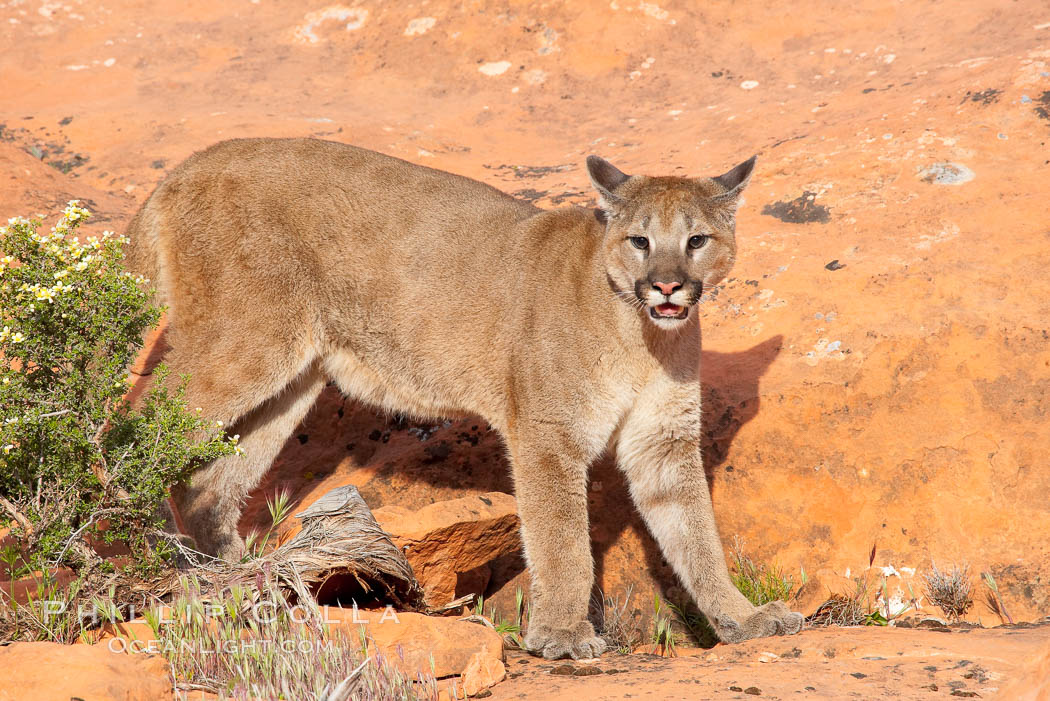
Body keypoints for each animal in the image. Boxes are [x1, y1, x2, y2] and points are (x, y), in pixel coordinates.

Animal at [127, 139, 806, 659]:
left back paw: (236, 575)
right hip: (242, 342)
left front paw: (743, 618)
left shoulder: (661, 443)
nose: (666, 286)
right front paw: (562, 635)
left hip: (292, 375)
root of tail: (188, 162)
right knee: (133, 422)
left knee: (210, 479)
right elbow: (561, 541)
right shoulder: (549, 435)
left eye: (697, 241)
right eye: (640, 241)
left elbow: (696, 535)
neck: (643, 337)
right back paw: (129, 545)